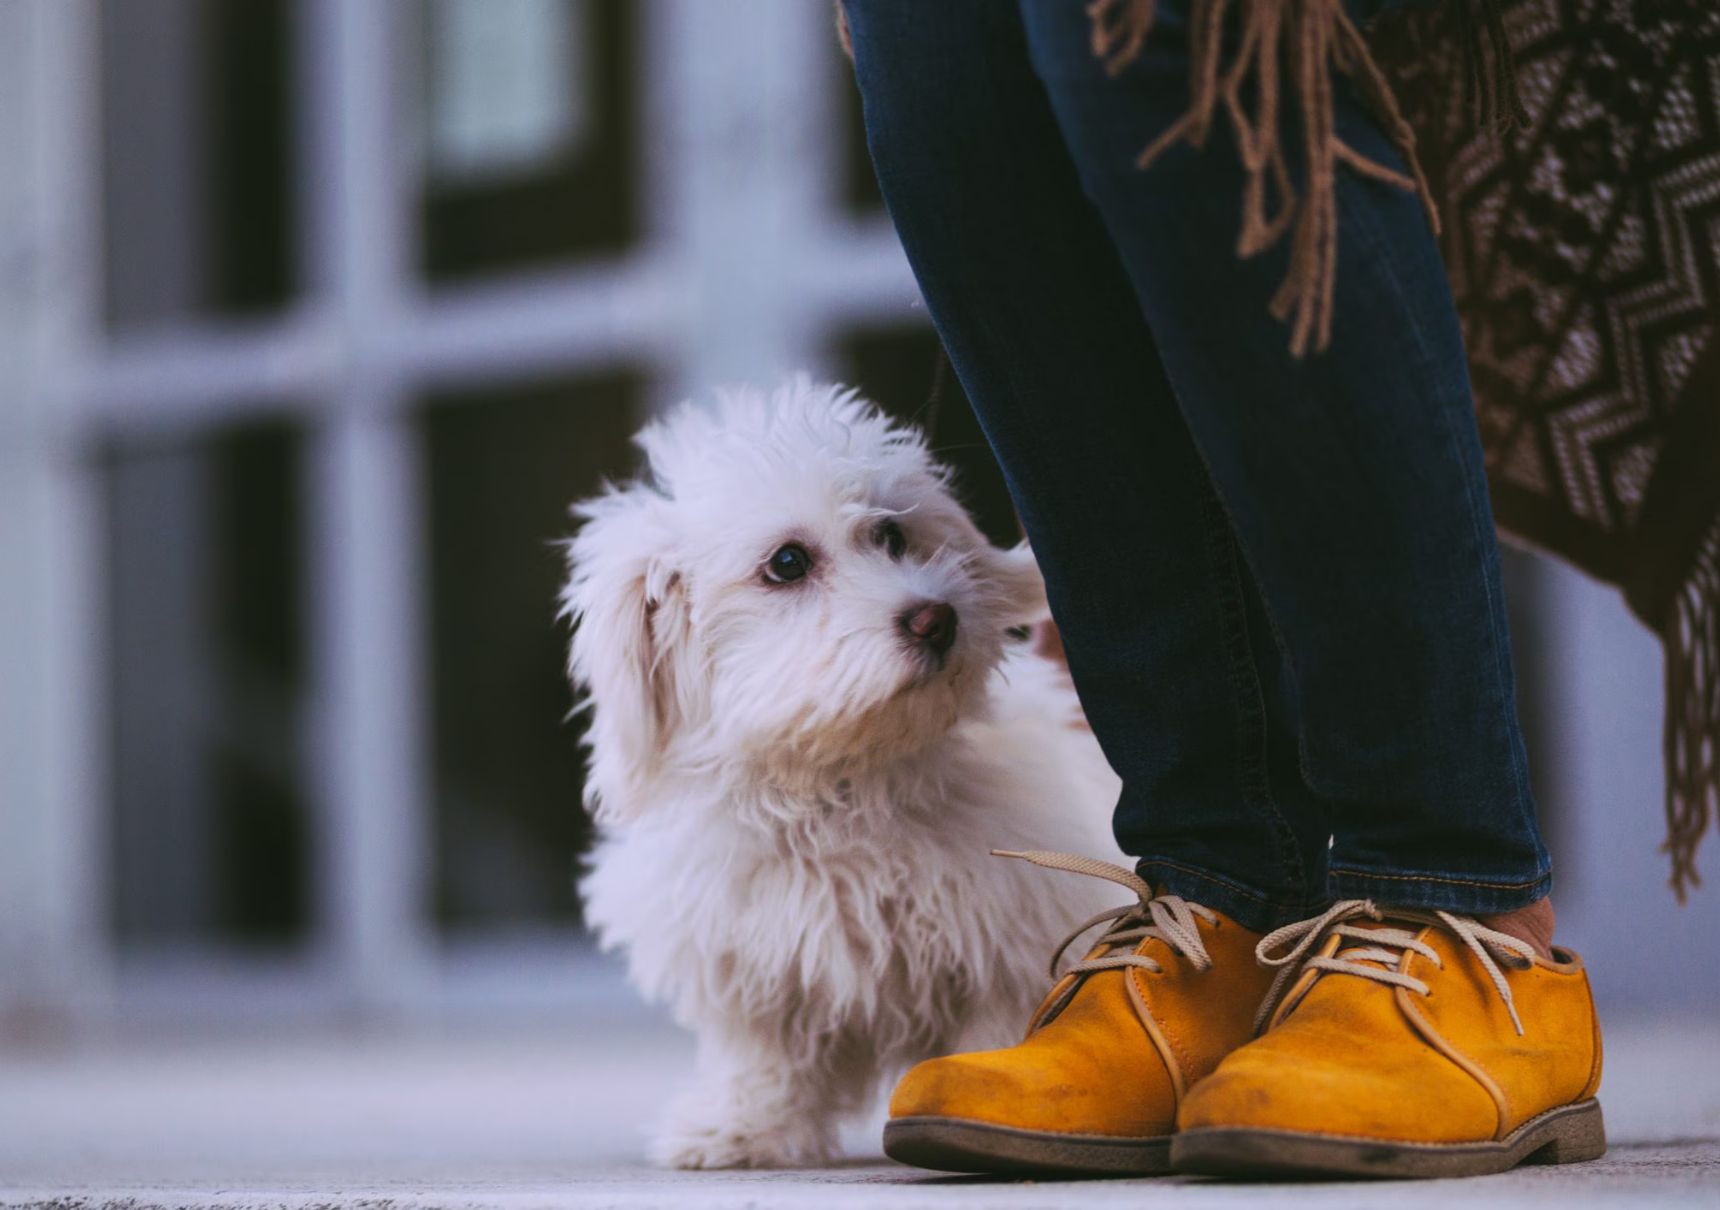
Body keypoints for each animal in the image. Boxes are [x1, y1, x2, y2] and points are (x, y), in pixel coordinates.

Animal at [564, 380, 1121, 1170]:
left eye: (891, 536)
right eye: (788, 563)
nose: (936, 619)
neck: (838, 790)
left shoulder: (1011, 938)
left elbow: (998, 1025)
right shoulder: (755, 954)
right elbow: (762, 1053)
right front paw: (741, 1127)